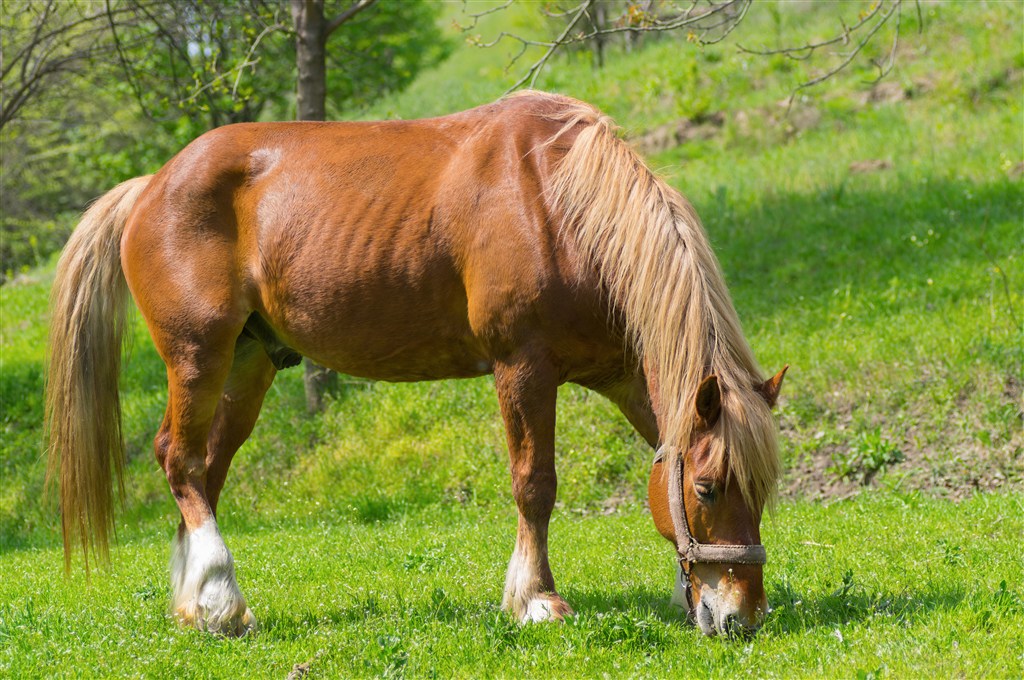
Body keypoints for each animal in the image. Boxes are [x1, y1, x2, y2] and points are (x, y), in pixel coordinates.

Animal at [44, 90, 786, 639]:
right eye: (709, 489)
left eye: (763, 489)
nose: (742, 616)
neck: (558, 204)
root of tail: (150, 185)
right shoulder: (523, 367)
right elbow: (535, 484)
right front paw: (536, 599)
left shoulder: (627, 376)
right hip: (199, 354)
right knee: (179, 460)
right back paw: (221, 597)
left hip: (248, 364)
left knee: (204, 468)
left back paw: (200, 606)